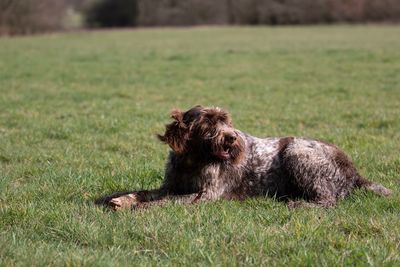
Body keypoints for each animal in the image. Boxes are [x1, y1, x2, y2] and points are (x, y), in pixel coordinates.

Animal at [102, 105, 390, 210]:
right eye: (208, 121)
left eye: (225, 120)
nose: (232, 137)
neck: (194, 160)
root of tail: (355, 172)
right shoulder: (170, 185)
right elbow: (143, 192)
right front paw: (119, 199)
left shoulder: (205, 195)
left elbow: (167, 201)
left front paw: (140, 208)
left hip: (296, 151)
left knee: (329, 201)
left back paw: (299, 204)